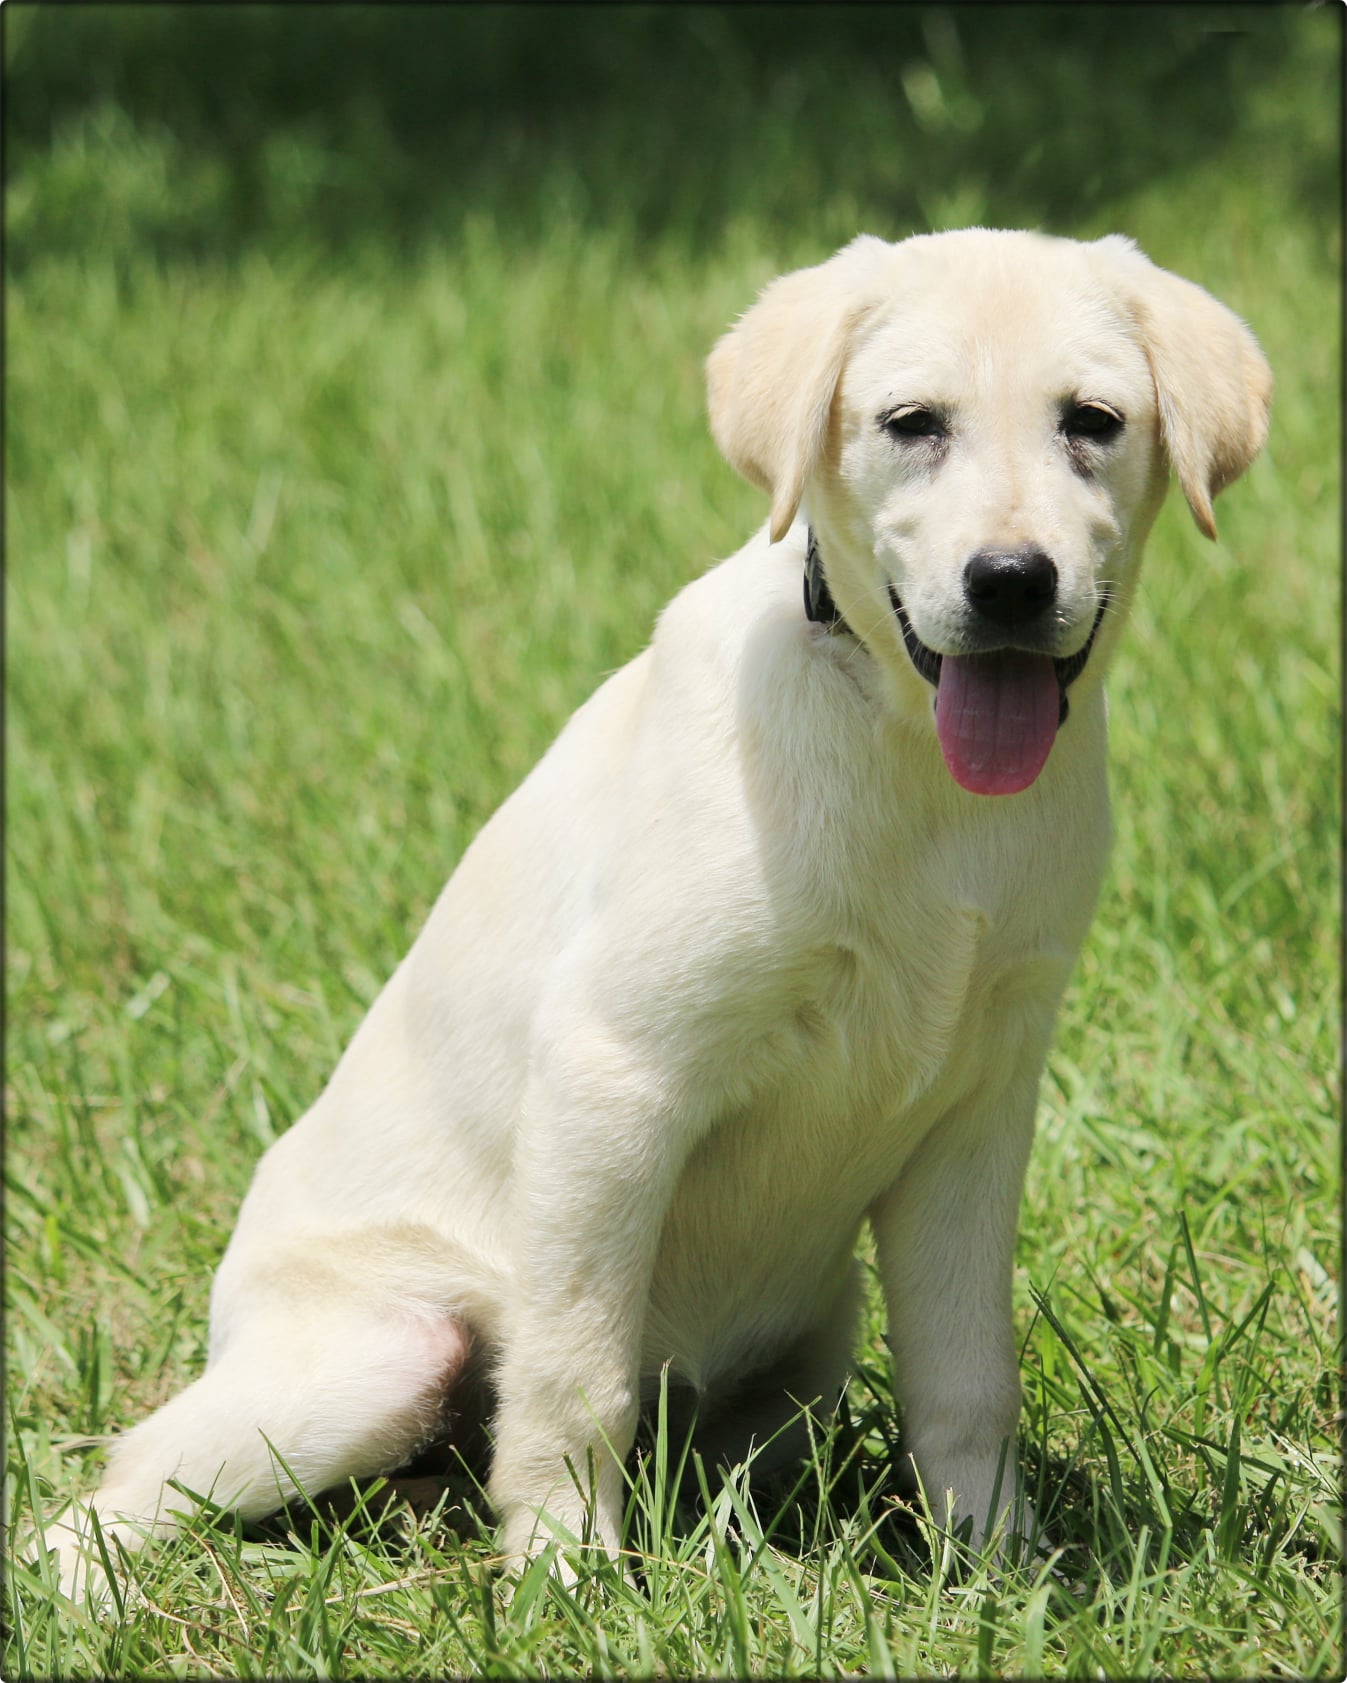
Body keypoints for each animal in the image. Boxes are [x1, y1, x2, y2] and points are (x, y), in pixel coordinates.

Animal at [50, 230, 1272, 1595]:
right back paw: (95, 1592)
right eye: (912, 424)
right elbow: (576, 1376)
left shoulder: (979, 1109)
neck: (903, 744)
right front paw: (564, 1581)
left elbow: (967, 1380)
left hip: (811, 1338)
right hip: (378, 1353)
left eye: (1091, 422)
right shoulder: (615, 1074)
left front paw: (1000, 1574)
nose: (1010, 583)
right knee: (119, 1488)